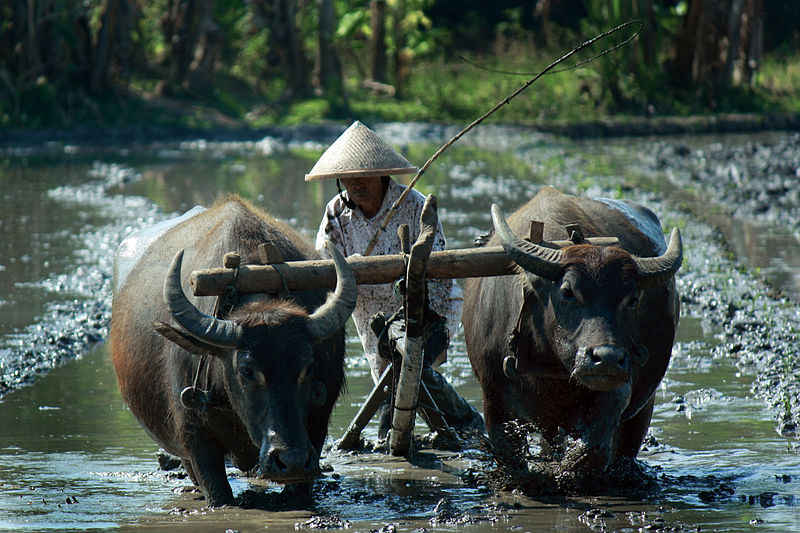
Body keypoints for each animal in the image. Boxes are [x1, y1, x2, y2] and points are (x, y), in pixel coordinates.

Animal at [110, 197, 356, 504]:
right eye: (247, 370)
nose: (292, 460)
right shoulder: (193, 433)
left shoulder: (316, 427)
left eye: (308, 367)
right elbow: (218, 493)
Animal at [462, 187, 680, 482]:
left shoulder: (617, 387)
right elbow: (511, 458)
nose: (607, 358)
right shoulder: (493, 397)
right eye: (567, 292)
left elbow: (591, 452)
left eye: (632, 299)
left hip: (643, 407)